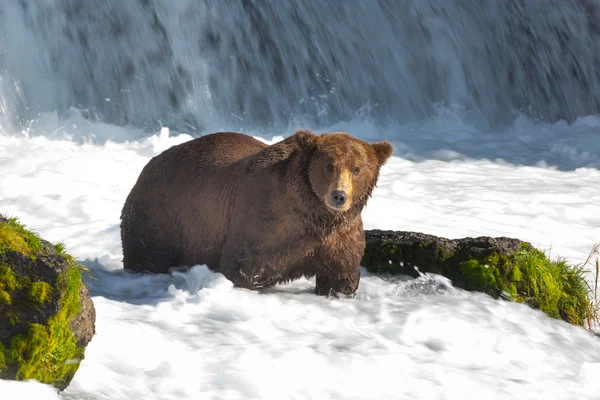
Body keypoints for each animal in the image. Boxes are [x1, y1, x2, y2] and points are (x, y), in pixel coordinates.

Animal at [121, 130, 394, 296]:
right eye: (329, 166)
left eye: (357, 169)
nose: (339, 195)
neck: (314, 215)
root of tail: (147, 166)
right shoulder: (264, 218)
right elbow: (243, 267)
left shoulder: (340, 234)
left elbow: (341, 275)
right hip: (162, 215)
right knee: (147, 253)